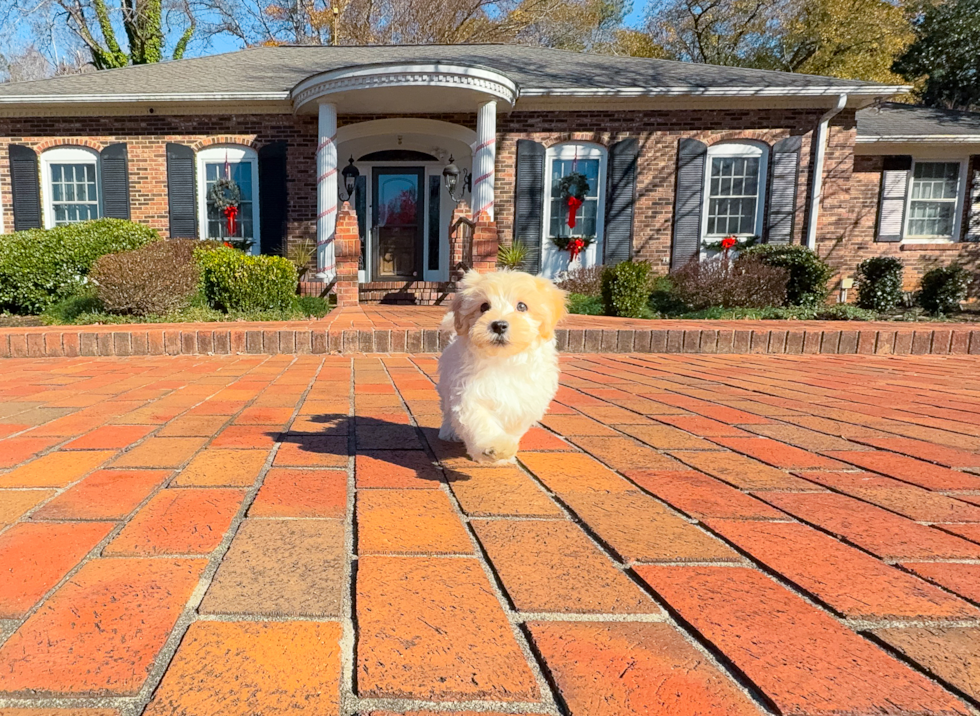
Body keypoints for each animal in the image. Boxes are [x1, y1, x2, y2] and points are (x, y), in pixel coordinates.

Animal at [436, 270, 568, 464]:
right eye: (484, 306)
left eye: (522, 306)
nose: (499, 325)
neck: (504, 360)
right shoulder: (469, 393)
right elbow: (480, 421)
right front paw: (494, 447)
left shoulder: (524, 403)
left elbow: (514, 428)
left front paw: (504, 454)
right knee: (447, 411)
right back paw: (448, 432)